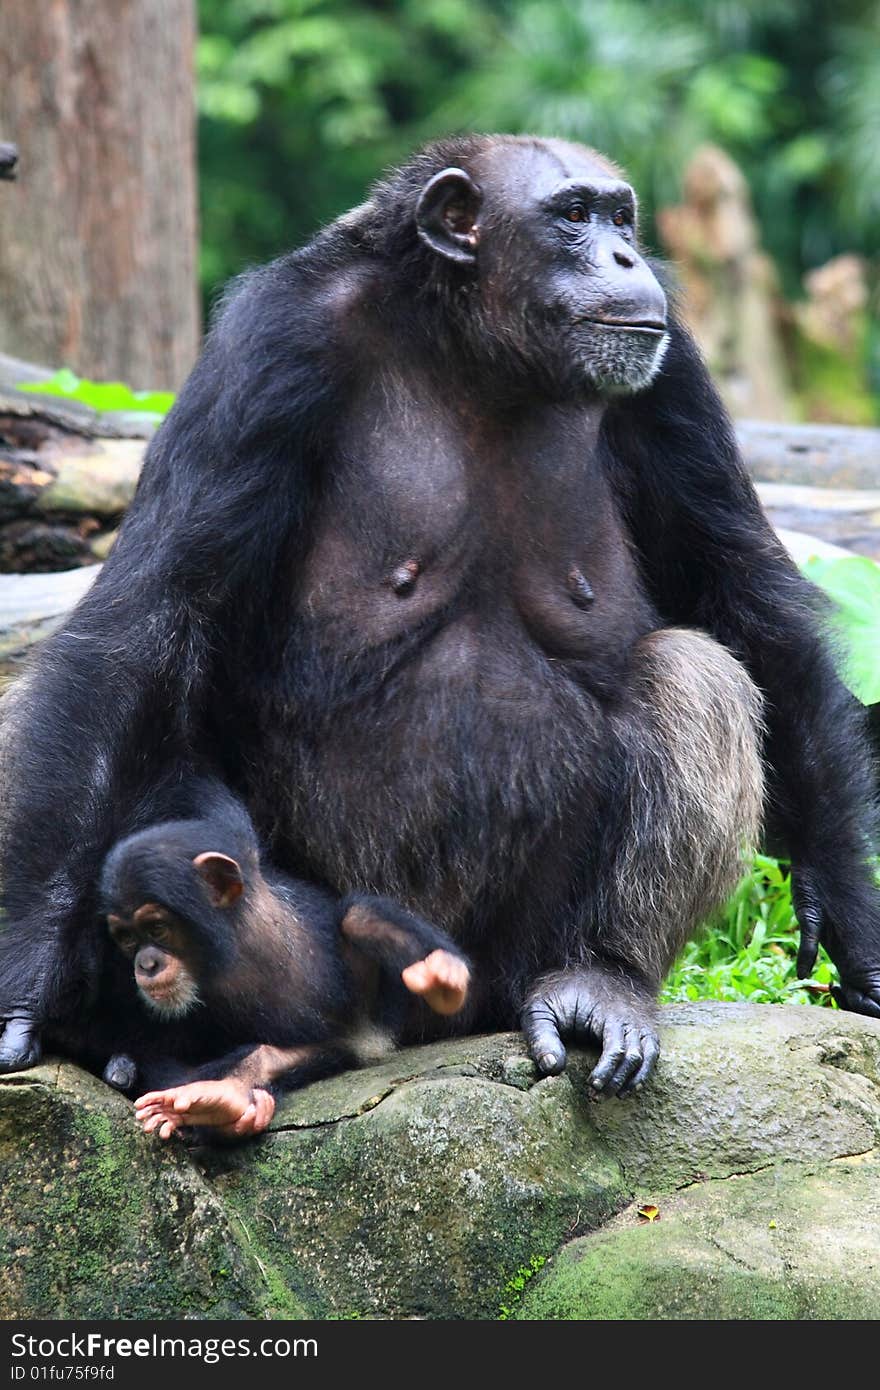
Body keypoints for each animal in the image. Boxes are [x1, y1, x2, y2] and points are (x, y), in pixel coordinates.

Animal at [1, 138, 878, 1095]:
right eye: (574, 215)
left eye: (621, 216)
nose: (625, 256)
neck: (474, 345)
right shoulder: (264, 351)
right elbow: (152, 616)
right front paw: (30, 983)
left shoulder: (672, 371)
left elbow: (740, 589)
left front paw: (846, 905)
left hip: (501, 963)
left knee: (696, 669)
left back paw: (600, 981)